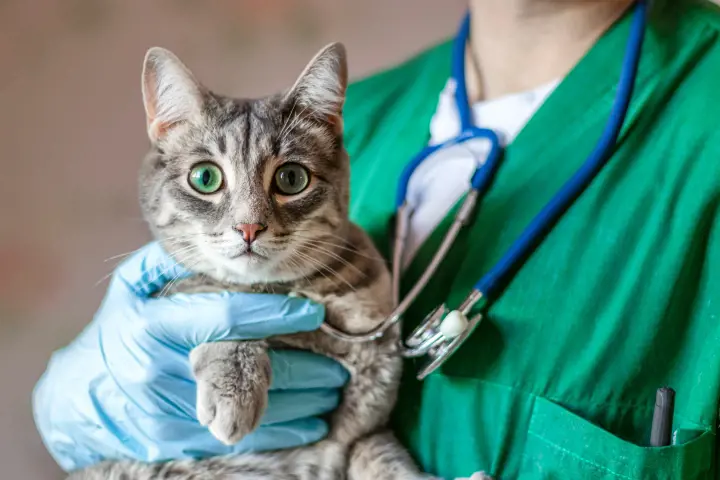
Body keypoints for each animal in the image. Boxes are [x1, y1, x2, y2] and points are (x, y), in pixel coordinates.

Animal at [69, 45, 438, 480]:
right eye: (205, 178)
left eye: (292, 178)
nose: (248, 227)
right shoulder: (182, 295)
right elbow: (222, 307)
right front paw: (235, 386)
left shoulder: (362, 432)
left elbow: (383, 460)